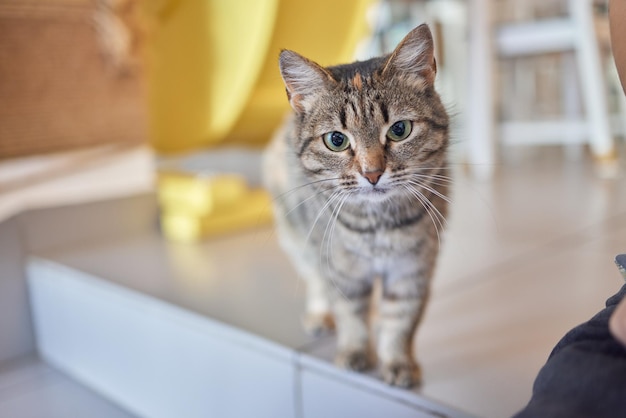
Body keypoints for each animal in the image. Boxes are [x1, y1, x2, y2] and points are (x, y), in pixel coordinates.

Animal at [264, 24, 448, 386]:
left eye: (400, 129)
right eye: (336, 140)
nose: (372, 173)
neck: (377, 225)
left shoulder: (413, 267)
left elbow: (401, 320)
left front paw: (398, 362)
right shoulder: (340, 268)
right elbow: (350, 314)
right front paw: (355, 353)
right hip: (298, 239)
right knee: (314, 278)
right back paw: (320, 315)